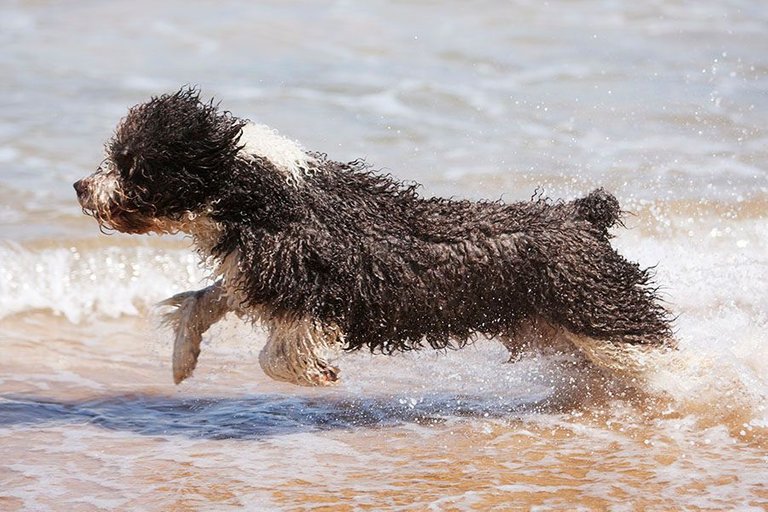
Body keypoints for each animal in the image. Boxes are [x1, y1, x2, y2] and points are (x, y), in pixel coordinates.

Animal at [72, 88, 672, 386]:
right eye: (116, 157)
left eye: (131, 166)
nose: (80, 186)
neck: (258, 195)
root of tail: (582, 215)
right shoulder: (257, 275)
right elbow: (206, 299)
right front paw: (183, 359)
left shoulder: (311, 290)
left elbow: (277, 353)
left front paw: (316, 373)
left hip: (605, 317)